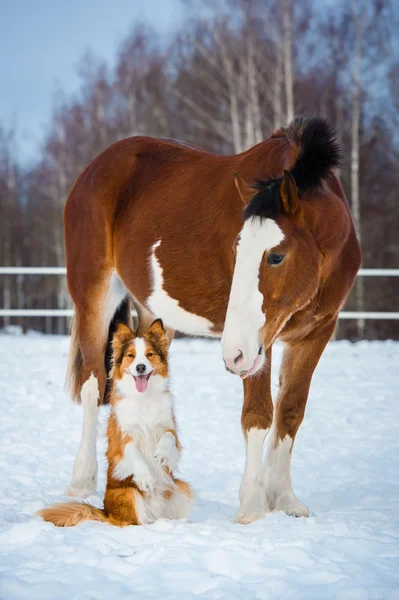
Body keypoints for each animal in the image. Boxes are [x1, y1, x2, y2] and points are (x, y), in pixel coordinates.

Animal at [38, 318, 195, 524]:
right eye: (131, 356)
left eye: (149, 354)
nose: (140, 367)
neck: (143, 398)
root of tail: (106, 511)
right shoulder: (122, 436)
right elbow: (133, 454)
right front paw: (145, 477)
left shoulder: (169, 428)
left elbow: (169, 438)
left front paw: (161, 454)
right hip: (129, 495)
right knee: (130, 521)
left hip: (182, 489)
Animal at [64, 116, 360, 520]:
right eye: (237, 249)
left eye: (276, 255)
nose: (232, 354)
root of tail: (93, 169)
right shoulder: (258, 345)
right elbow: (258, 416)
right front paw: (252, 506)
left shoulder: (316, 332)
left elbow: (290, 413)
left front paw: (285, 500)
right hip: (95, 297)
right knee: (94, 384)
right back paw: (82, 482)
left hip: (154, 317)